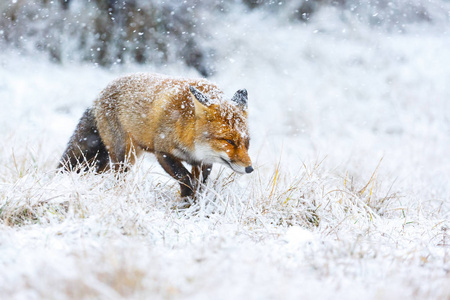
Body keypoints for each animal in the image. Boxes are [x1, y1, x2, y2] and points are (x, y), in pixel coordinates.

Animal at [57, 73, 251, 197]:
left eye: (247, 142)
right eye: (228, 141)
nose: (250, 169)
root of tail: (99, 95)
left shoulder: (204, 162)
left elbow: (199, 183)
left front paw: (195, 203)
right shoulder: (163, 152)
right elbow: (185, 178)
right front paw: (186, 200)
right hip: (123, 156)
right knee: (116, 175)